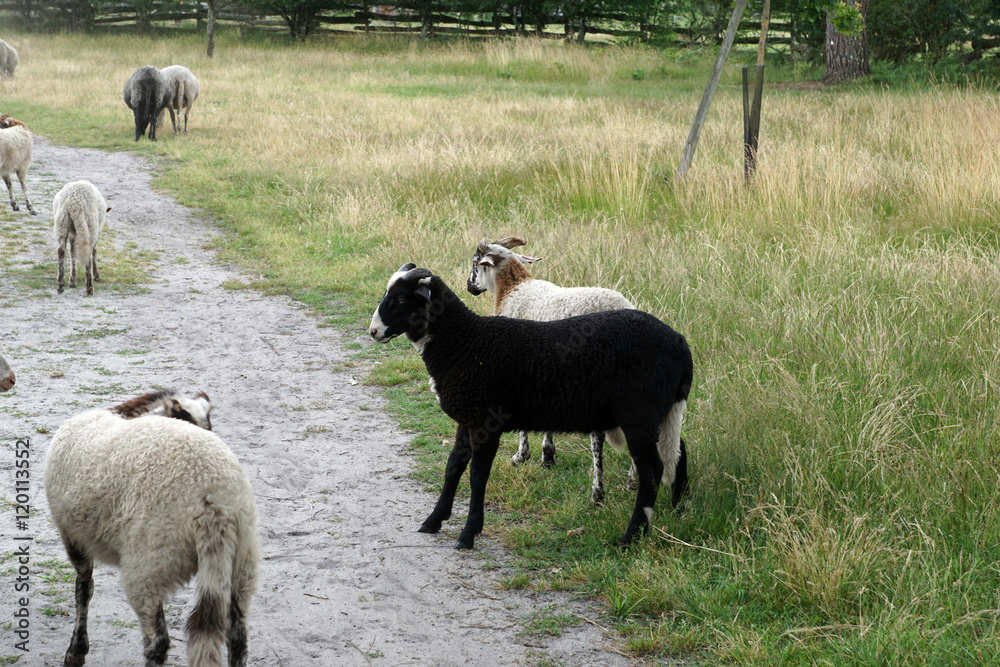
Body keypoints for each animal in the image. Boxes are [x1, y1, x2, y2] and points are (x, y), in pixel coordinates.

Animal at [46, 389, 259, 666]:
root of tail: (214, 506)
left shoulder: (72, 535)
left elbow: (83, 589)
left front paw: (76, 651)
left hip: (151, 562)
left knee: (158, 641)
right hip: (242, 561)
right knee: (237, 636)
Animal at [369, 263, 693, 550]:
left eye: (401, 299)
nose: (373, 332)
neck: (464, 343)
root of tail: (680, 344)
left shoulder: (486, 421)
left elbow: (477, 476)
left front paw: (468, 534)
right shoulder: (467, 418)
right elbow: (453, 467)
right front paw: (434, 520)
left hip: (638, 412)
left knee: (651, 470)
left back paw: (631, 537)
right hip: (661, 412)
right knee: (678, 452)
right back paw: (680, 510)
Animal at [467, 236, 662, 504]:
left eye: (475, 262)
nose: (469, 287)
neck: (513, 290)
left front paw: (522, 456)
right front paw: (547, 456)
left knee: (598, 439)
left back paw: (598, 493)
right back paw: (632, 483)